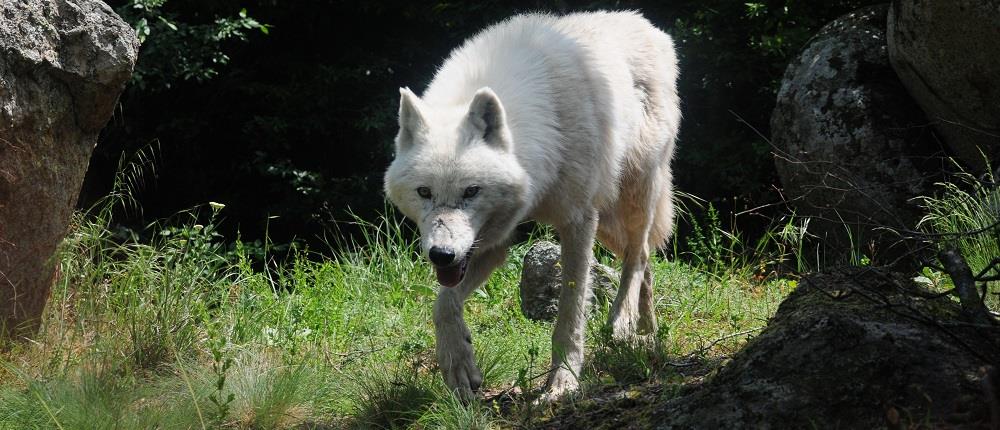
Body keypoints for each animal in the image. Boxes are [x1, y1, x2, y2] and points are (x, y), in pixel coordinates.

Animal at [382, 10, 680, 400]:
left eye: (472, 191)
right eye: (424, 192)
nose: (441, 255)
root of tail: (649, 26)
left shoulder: (578, 221)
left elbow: (570, 313)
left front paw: (562, 382)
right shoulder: (493, 243)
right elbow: (443, 302)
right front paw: (458, 363)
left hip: (630, 195)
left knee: (639, 254)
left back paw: (622, 322)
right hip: (608, 221)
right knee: (645, 255)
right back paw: (647, 331)